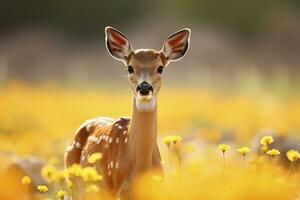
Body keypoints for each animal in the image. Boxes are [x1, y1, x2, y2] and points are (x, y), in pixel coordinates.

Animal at [63, 26, 191, 198]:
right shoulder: (119, 189)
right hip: (76, 181)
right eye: (130, 67)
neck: (140, 165)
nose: (144, 87)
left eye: (160, 68)